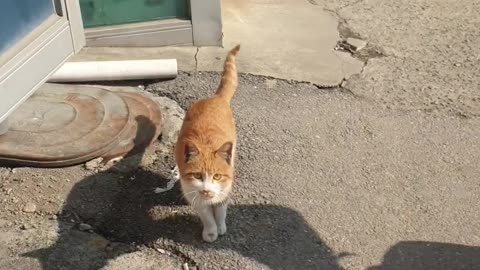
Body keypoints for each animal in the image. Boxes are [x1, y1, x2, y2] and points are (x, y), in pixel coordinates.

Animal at [174, 44, 240, 243]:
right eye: (197, 175)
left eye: (217, 176)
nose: (206, 190)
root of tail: (215, 98)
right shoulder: (192, 192)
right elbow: (206, 215)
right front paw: (211, 231)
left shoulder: (225, 188)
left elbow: (220, 210)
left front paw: (221, 226)